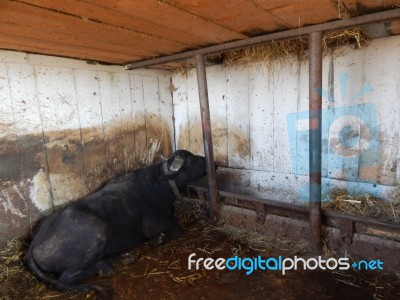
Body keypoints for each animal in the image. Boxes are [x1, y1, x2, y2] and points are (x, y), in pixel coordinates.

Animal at [26, 150, 209, 292]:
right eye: (193, 159)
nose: (211, 161)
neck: (160, 185)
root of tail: (34, 244)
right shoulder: (153, 226)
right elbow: (177, 228)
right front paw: (159, 239)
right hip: (98, 231)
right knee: (66, 278)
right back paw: (105, 267)